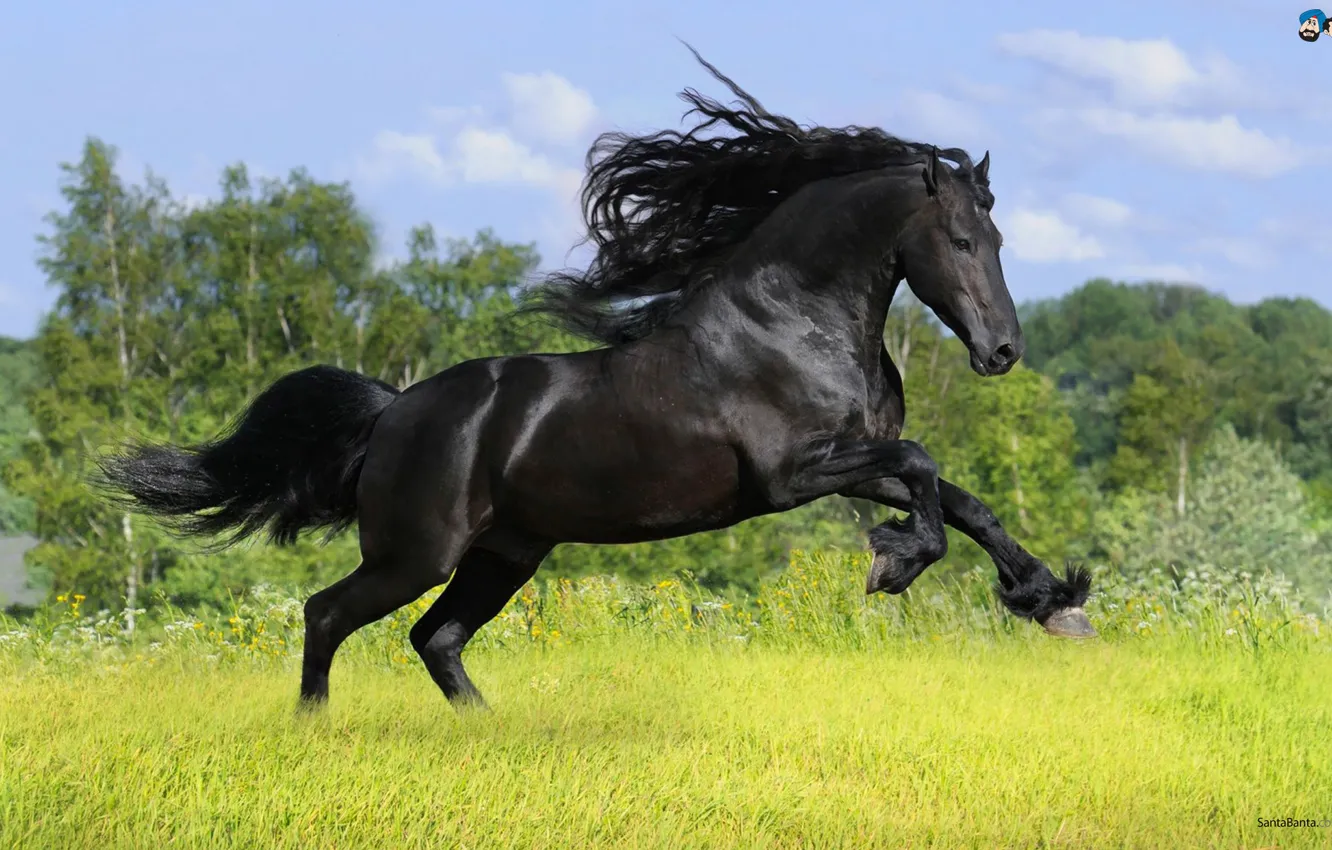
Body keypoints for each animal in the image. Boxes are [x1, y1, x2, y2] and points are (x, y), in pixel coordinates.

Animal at [99, 48, 1095, 712]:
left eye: (999, 237)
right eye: (959, 239)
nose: (1002, 352)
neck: (791, 322)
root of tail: (393, 413)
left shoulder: (852, 459)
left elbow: (965, 500)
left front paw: (1053, 602)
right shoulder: (793, 475)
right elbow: (926, 468)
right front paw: (895, 562)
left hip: (505, 554)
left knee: (435, 637)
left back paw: (489, 732)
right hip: (416, 553)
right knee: (326, 614)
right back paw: (315, 729)